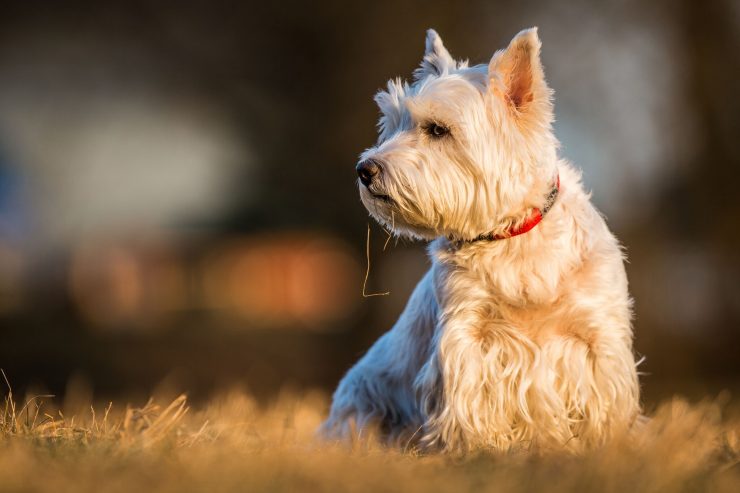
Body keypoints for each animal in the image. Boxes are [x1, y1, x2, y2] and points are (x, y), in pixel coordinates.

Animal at [322, 26, 640, 450]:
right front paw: (476, 451)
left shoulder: (596, 338)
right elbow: (469, 403)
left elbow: (603, 405)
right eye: (392, 123)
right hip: (360, 405)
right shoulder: (467, 335)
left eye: (437, 129)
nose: (364, 169)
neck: (513, 239)